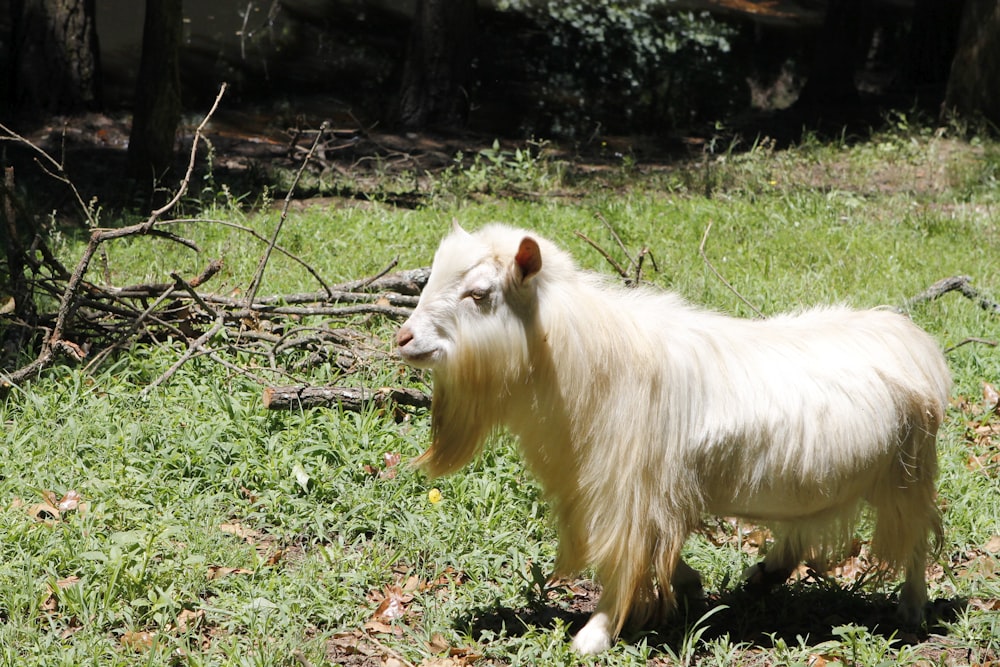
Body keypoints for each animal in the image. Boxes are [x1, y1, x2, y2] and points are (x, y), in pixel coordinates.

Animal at [394, 222, 948, 656]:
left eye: (479, 293)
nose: (403, 338)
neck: (583, 360)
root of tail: (913, 340)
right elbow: (653, 552)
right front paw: (691, 585)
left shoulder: (628, 491)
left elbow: (624, 558)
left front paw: (594, 635)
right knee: (803, 529)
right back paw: (765, 576)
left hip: (908, 473)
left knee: (918, 540)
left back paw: (911, 609)